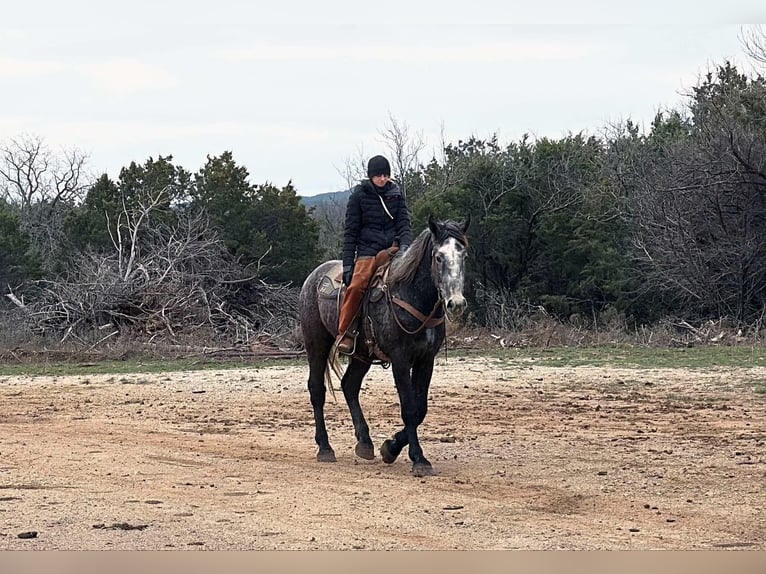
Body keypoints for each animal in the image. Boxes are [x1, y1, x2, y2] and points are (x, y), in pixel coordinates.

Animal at [298, 216, 468, 476]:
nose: (456, 303)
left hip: (362, 355)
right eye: (438, 257)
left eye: (463, 255)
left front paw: (390, 447)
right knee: (317, 389)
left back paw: (365, 443)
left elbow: (420, 409)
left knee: (349, 385)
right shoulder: (400, 360)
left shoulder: (426, 360)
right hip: (316, 343)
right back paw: (325, 448)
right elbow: (409, 408)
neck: (410, 295)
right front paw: (419, 459)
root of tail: (313, 278)